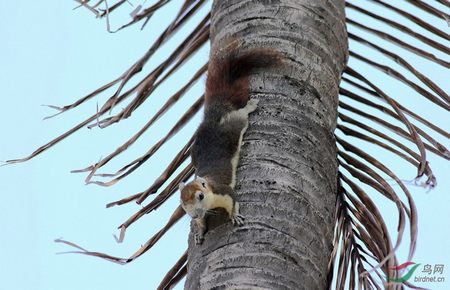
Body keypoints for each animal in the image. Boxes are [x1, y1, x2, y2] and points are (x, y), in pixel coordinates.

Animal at [178, 46, 278, 245]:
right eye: (182, 203)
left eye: (200, 196)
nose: (194, 215)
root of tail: (212, 120)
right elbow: (202, 223)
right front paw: (200, 232)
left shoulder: (224, 191)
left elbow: (233, 201)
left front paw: (234, 216)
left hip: (234, 125)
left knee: (241, 115)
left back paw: (250, 105)